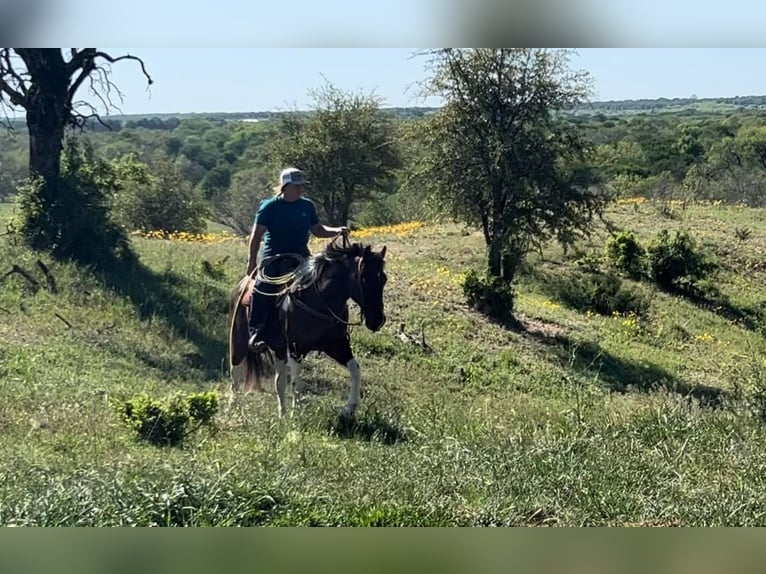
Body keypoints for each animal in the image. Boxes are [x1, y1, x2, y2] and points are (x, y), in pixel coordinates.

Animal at [225, 240, 388, 418]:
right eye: (364, 278)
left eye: (384, 279)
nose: (377, 320)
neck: (320, 301)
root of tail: (242, 284)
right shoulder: (295, 348)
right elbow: (296, 381)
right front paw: (296, 414)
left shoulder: (336, 345)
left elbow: (355, 369)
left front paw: (349, 409)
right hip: (239, 340)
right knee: (236, 371)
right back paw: (233, 406)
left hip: (280, 349)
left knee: (279, 380)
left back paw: (282, 414)